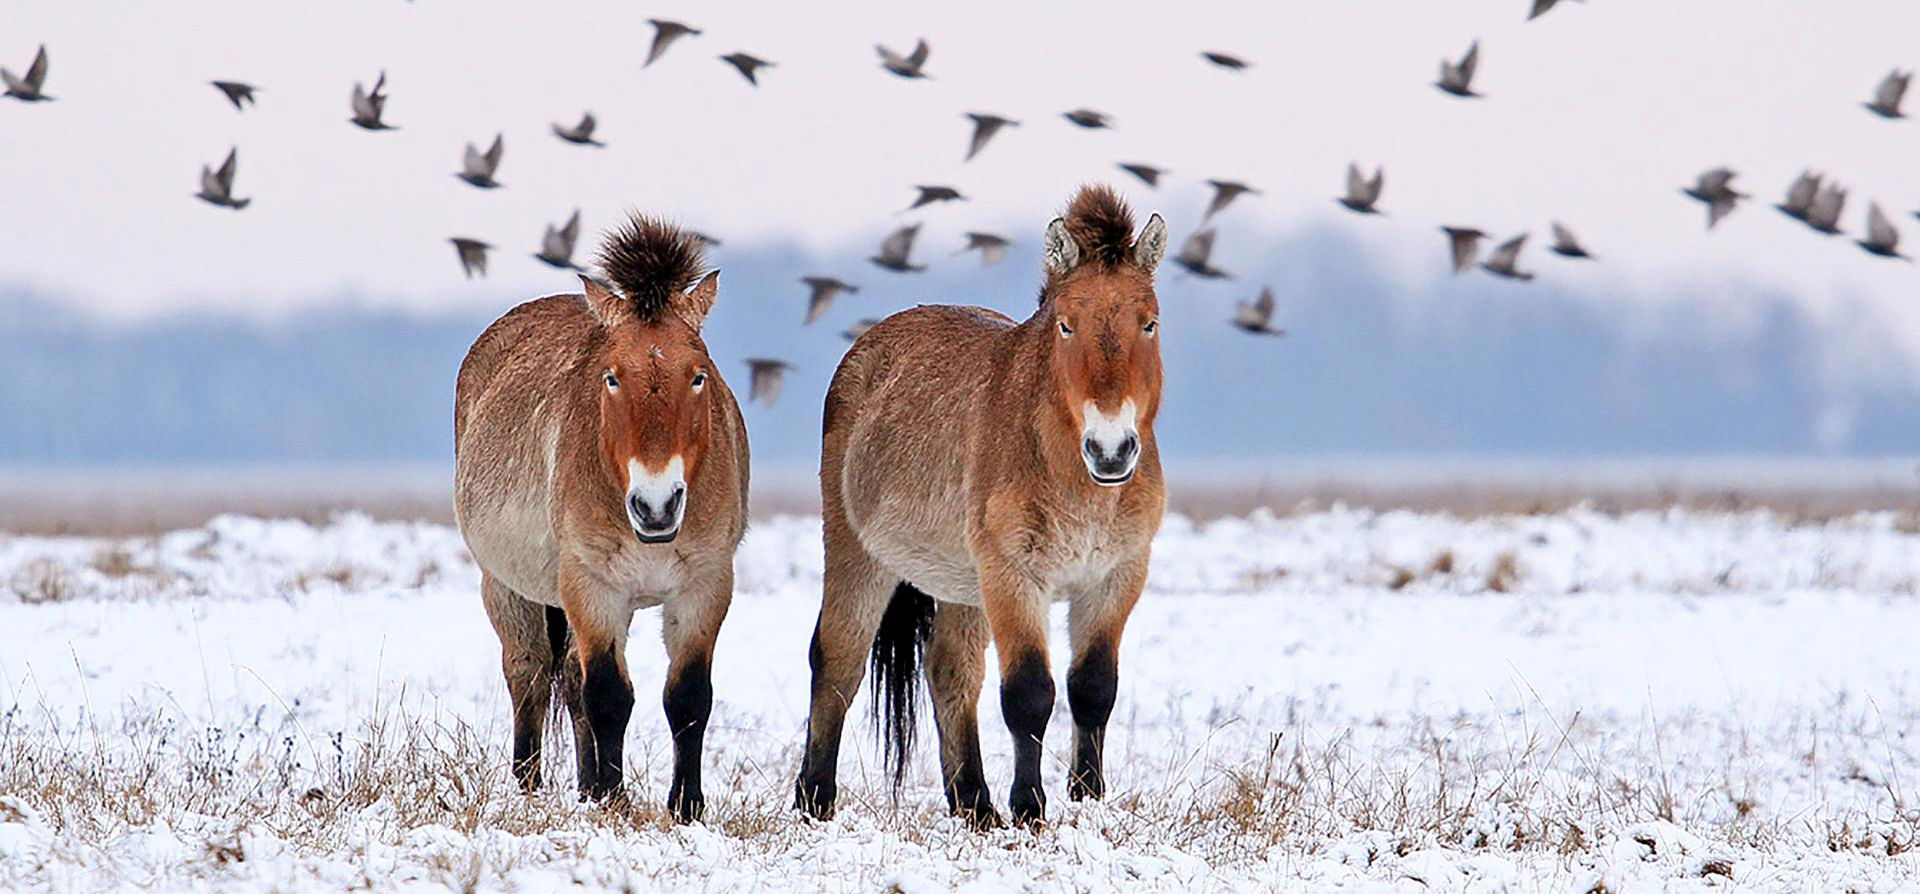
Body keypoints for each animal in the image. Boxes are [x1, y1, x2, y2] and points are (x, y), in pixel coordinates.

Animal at [451, 212, 748, 821]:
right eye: (611, 376)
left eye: (699, 374)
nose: (656, 504)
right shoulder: (593, 585)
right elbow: (609, 694)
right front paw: (612, 800)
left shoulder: (705, 586)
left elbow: (688, 697)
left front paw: (684, 806)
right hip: (507, 588)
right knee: (530, 673)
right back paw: (529, 785)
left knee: (568, 676)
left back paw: (584, 784)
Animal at [794, 185, 1167, 828]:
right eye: (1066, 325)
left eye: (1148, 322)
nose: (1111, 448)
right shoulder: (1014, 577)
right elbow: (1029, 694)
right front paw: (1030, 808)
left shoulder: (1116, 577)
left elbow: (1093, 688)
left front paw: (1088, 798)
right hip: (859, 555)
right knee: (838, 659)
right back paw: (814, 798)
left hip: (959, 584)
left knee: (949, 671)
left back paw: (973, 803)